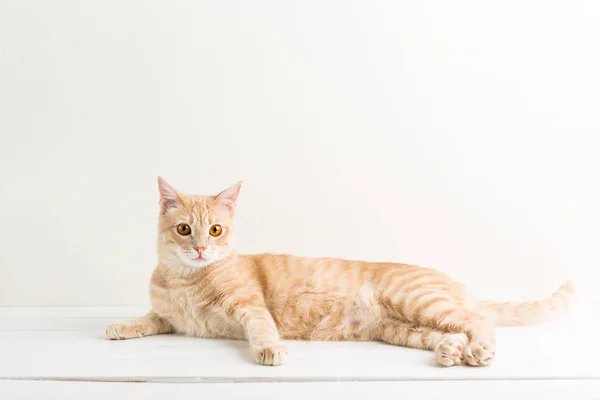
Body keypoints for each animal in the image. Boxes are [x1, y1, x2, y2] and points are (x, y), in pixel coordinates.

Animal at [105, 180, 576, 368]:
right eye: (185, 230)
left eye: (216, 230)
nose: (202, 248)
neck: (185, 279)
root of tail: (458, 284)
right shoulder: (168, 318)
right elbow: (148, 319)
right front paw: (120, 326)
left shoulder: (250, 307)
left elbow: (261, 328)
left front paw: (270, 350)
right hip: (401, 328)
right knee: (448, 333)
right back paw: (449, 351)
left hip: (417, 300)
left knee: (478, 321)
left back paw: (477, 351)